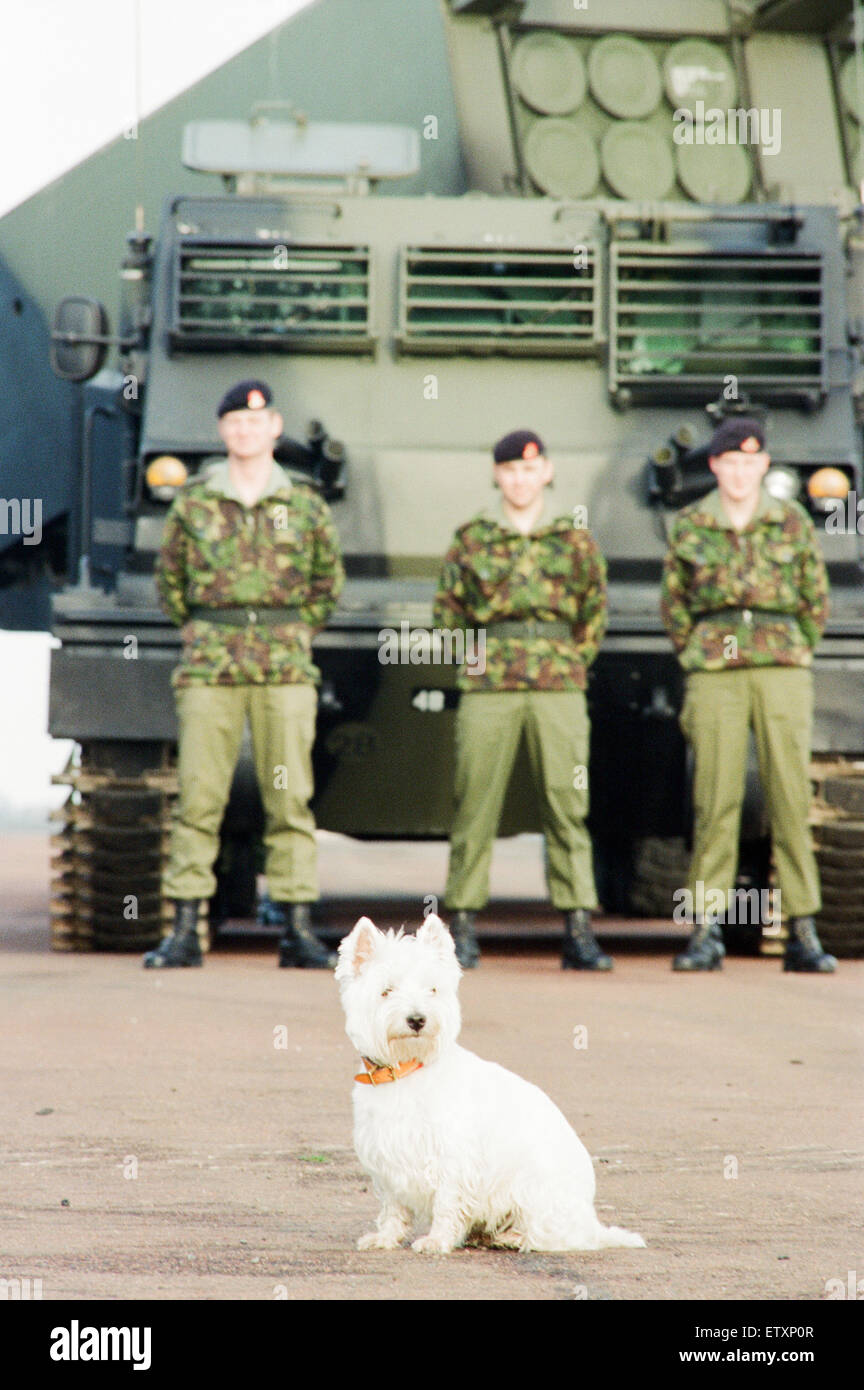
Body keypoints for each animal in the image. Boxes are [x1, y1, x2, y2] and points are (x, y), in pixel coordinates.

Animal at [334, 917, 647, 1256]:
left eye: (433, 989)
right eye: (386, 991)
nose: (417, 1020)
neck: (406, 1070)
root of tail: (592, 1223)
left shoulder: (453, 1158)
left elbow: (446, 1203)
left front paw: (436, 1240)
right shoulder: (387, 1158)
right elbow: (393, 1207)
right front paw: (385, 1238)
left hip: (536, 1191)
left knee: (555, 1235)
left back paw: (512, 1237)